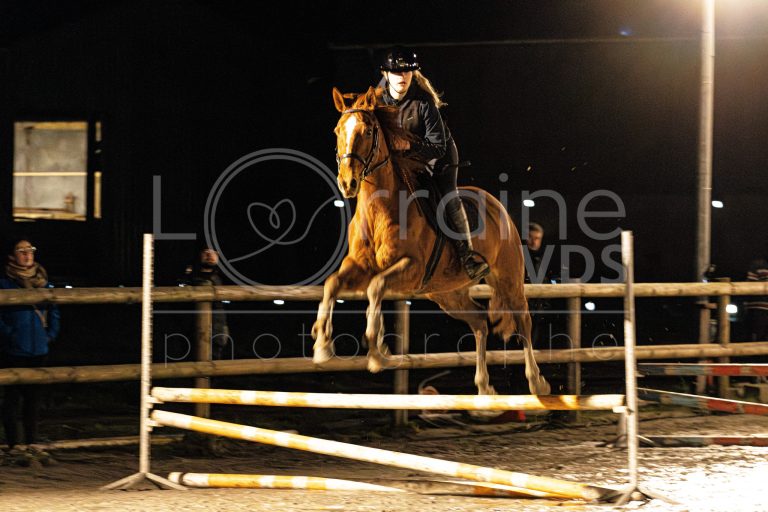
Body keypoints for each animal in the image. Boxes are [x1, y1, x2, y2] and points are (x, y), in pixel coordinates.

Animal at [311, 86, 550, 396]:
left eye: (368, 131)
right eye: (337, 130)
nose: (347, 183)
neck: (380, 209)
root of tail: (498, 207)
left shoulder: (411, 268)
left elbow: (376, 288)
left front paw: (377, 351)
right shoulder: (360, 267)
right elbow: (333, 284)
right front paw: (322, 346)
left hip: (507, 278)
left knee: (523, 320)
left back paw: (536, 382)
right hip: (446, 292)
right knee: (479, 322)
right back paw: (484, 387)